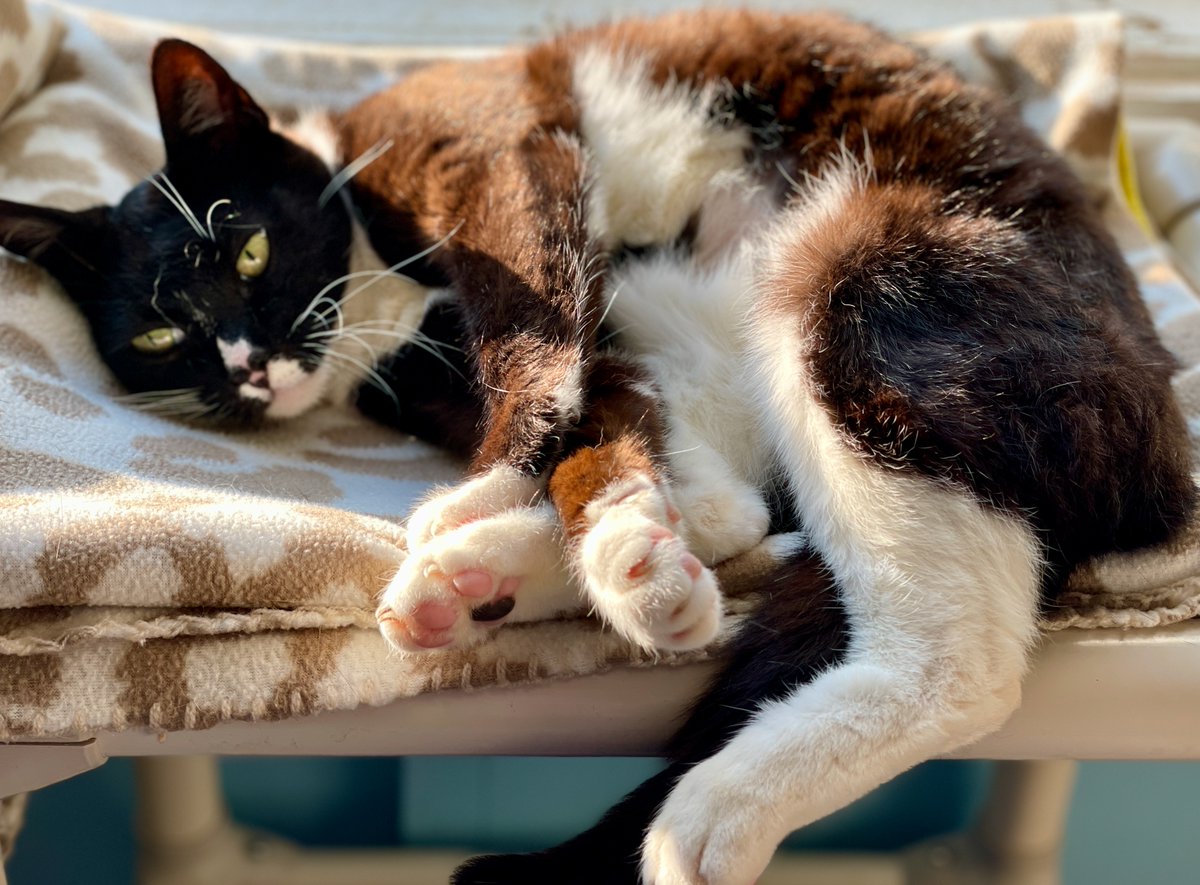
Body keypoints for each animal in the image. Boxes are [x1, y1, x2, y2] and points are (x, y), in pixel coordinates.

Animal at [0, 10, 1195, 877]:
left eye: (245, 248)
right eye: (161, 335)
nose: (248, 366)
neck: (384, 320)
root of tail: (1161, 451)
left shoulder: (497, 169)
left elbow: (541, 348)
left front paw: (510, 496)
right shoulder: (591, 339)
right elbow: (624, 429)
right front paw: (628, 536)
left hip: (856, 270)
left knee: (960, 661)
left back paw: (700, 809)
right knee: (758, 510)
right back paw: (487, 587)